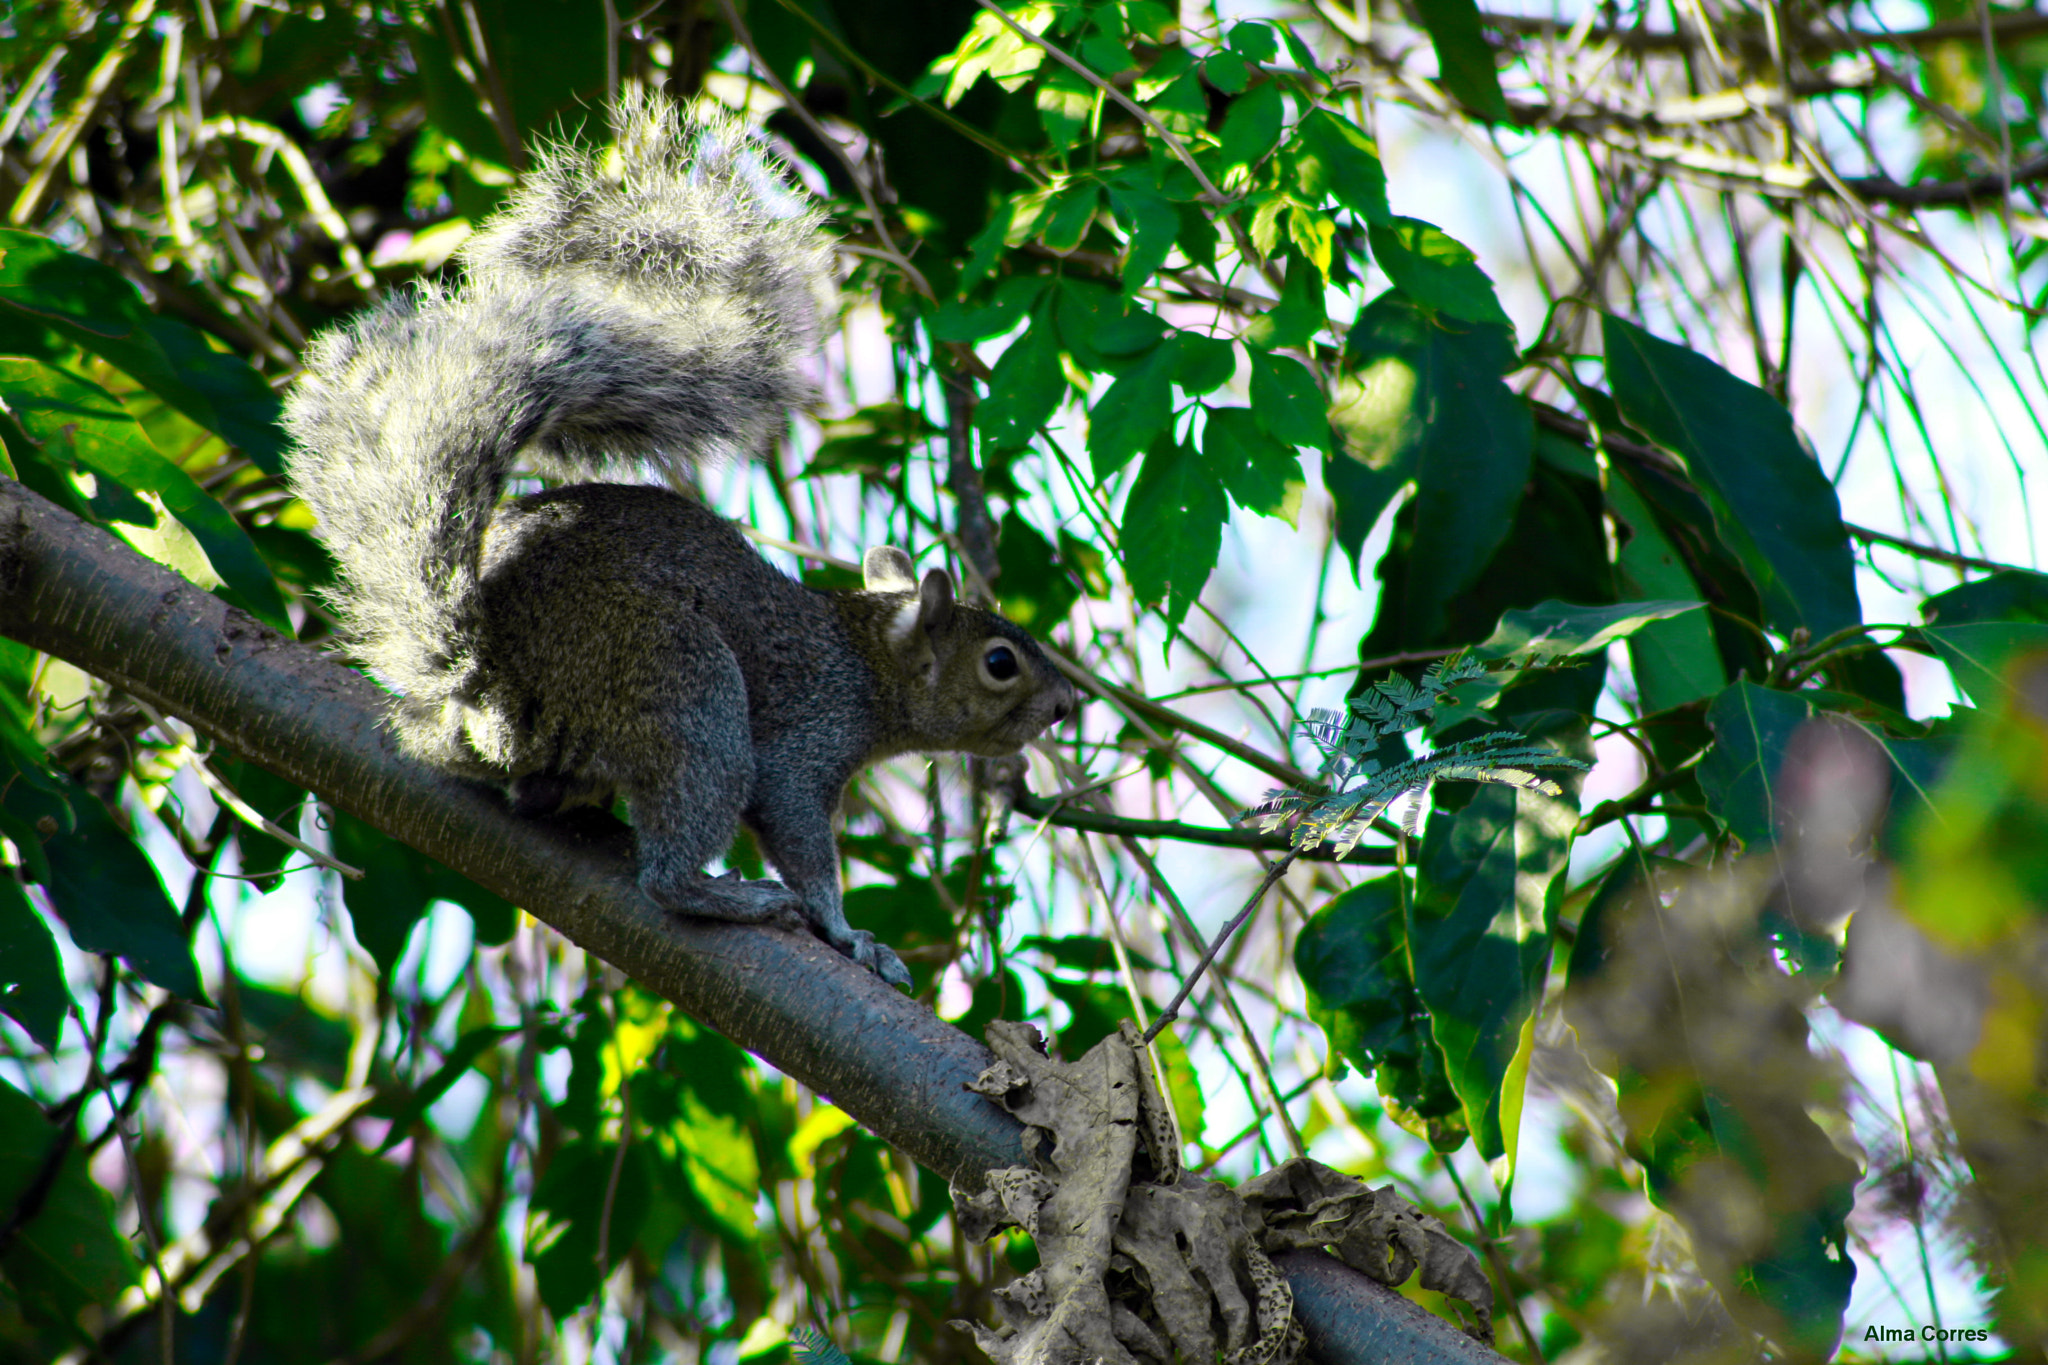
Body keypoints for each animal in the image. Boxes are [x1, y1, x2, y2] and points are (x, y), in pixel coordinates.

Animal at [282, 94, 1075, 987]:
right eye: (1000, 662)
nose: (1065, 705)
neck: (865, 657)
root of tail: (483, 687)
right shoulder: (805, 737)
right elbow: (799, 834)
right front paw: (848, 934)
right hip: (684, 684)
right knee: (669, 863)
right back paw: (727, 895)